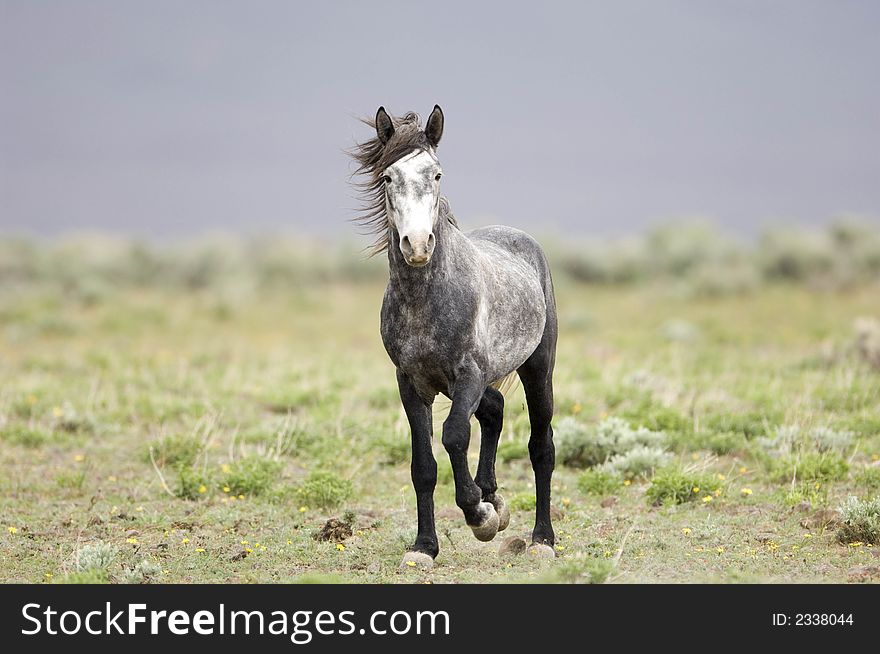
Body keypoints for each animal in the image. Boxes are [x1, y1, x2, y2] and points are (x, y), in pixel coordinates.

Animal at [348, 106, 556, 568]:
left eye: (437, 173)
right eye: (388, 177)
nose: (417, 245)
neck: (426, 301)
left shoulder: (469, 375)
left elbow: (454, 435)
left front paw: (480, 517)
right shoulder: (412, 383)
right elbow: (423, 465)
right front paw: (424, 547)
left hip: (538, 369)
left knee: (541, 447)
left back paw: (542, 540)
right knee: (494, 411)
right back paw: (494, 497)